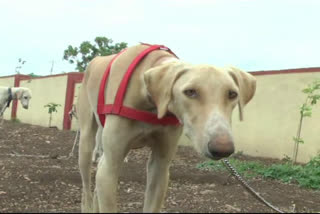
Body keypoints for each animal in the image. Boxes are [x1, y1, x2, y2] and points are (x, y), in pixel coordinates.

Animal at [77, 43, 255, 212]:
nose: (223, 149)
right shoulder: (111, 165)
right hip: (86, 143)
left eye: (232, 94)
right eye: (190, 92)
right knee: (86, 187)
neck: (152, 104)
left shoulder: (160, 167)